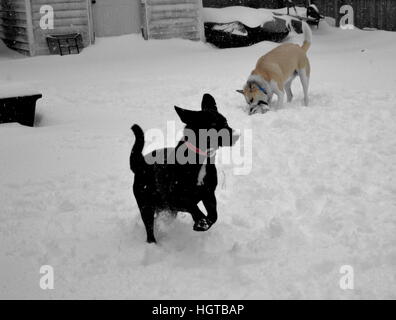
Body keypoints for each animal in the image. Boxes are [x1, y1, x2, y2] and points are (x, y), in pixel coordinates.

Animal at [130, 93, 238, 242]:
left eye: (226, 122)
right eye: (213, 125)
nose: (236, 136)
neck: (201, 158)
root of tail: (140, 163)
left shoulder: (209, 193)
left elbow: (214, 215)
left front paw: (203, 224)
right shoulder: (176, 199)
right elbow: (193, 206)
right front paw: (201, 222)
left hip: (165, 208)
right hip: (146, 205)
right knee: (149, 228)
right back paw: (153, 243)